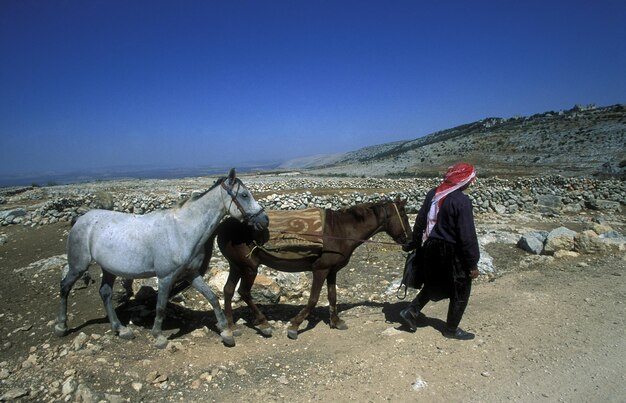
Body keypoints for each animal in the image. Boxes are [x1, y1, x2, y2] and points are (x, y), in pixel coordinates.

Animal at [53, 169, 266, 348]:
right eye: (244, 195)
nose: (264, 220)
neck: (182, 231)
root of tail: (81, 219)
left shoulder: (191, 274)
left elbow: (212, 298)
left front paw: (225, 332)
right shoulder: (165, 277)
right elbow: (161, 306)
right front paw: (158, 336)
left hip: (109, 269)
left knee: (105, 293)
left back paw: (121, 329)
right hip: (78, 266)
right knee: (64, 287)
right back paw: (61, 327)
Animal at [212, 200, 412, 342]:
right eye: (403, 214)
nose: (410, 242)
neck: (341, 231)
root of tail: (223, 226)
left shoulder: (332, 271)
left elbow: (332, 296)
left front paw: (336, 321)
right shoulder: (320, 270)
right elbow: (313, 299)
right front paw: (294, 326)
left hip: (236, 266)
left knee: (228, 290)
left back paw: (232, 327)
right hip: (249, 268)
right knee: (243, 292)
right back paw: (264, 324)